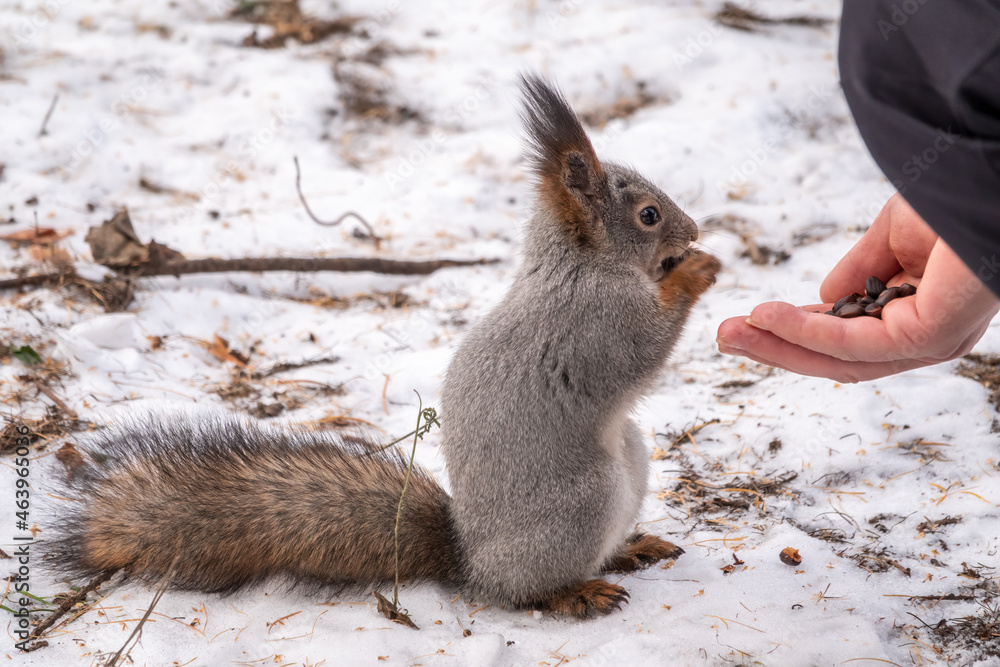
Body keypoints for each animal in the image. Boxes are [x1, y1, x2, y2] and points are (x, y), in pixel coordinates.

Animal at [47, 74, 721, 618]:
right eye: (650, 215)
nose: (694, 230)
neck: (580, 266)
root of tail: (472, 561)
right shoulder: (598, 324)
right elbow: (644, 349)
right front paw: (695, 271)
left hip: (629, 459)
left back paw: (630, 548)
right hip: (581, 501)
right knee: (524, 592)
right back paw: (573, 591)